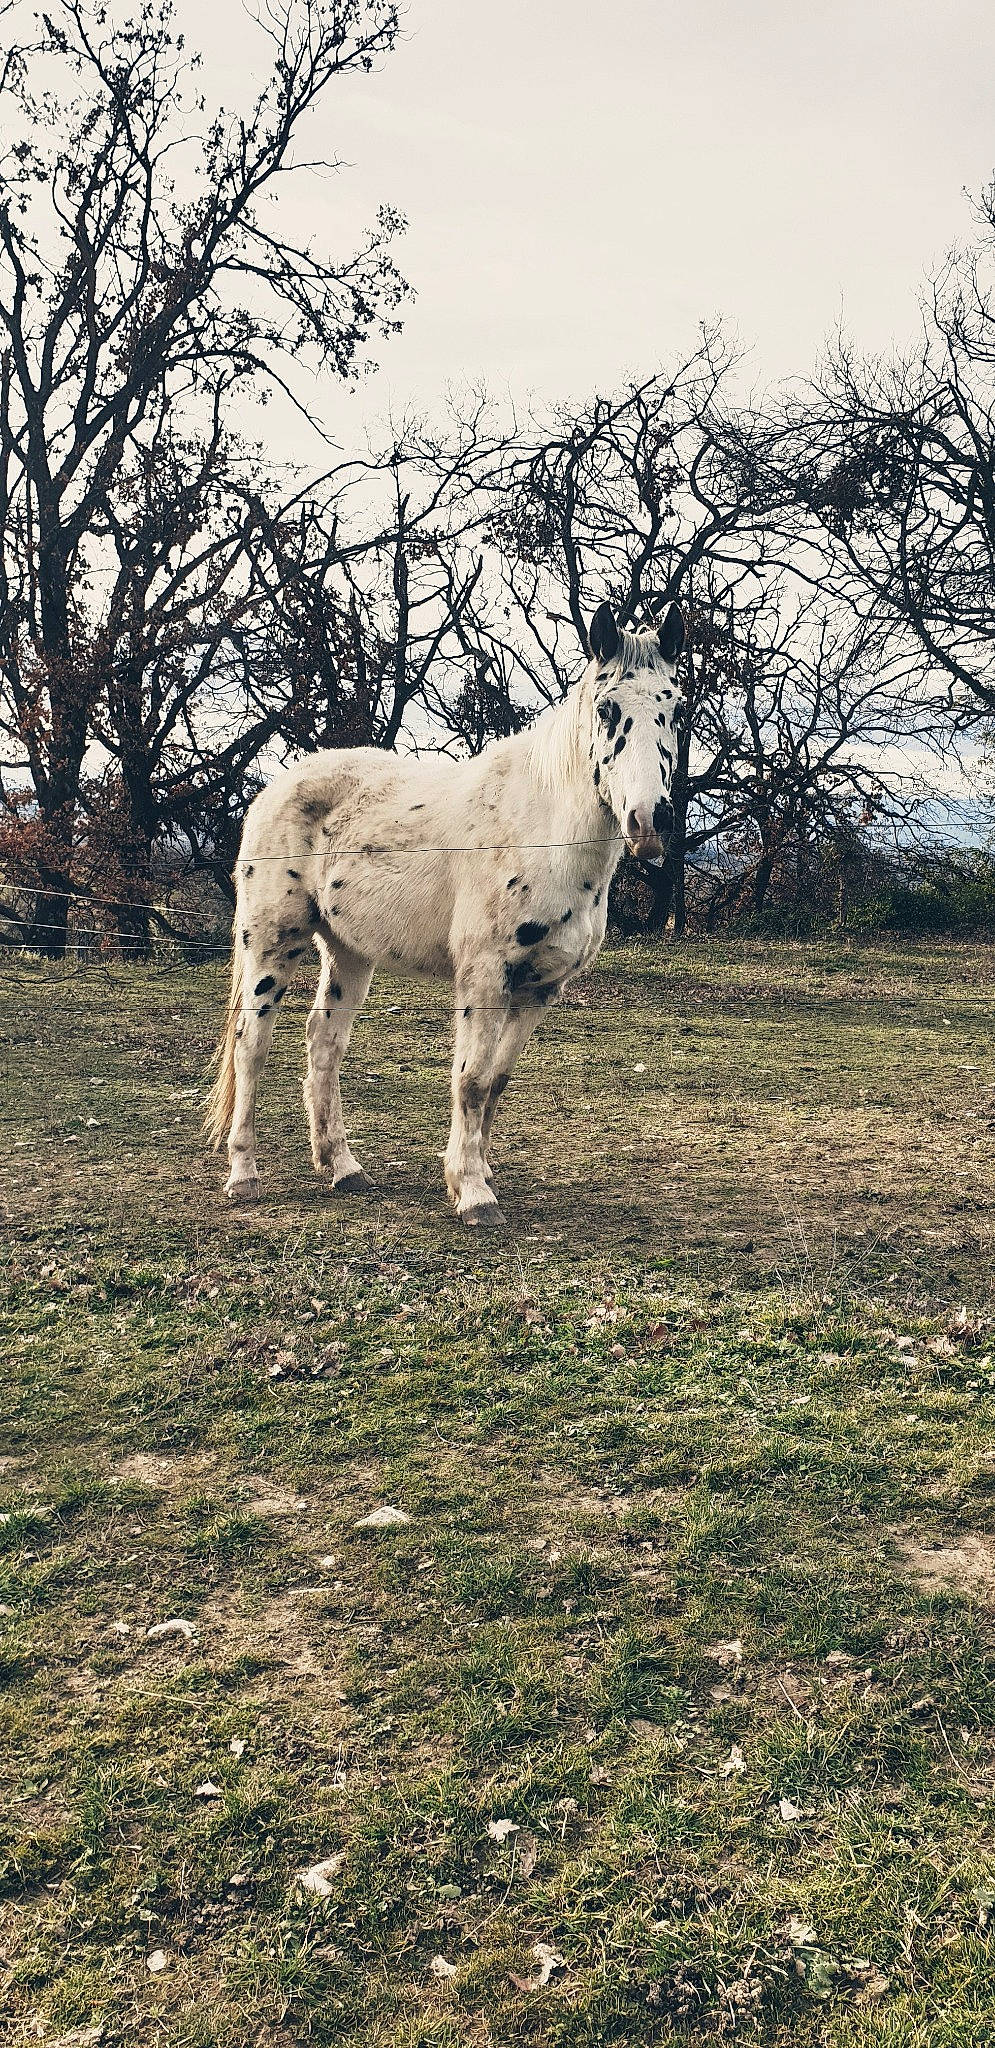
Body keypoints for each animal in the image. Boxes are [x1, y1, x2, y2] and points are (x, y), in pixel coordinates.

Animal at [204, 599, 686, 1226]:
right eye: (607, 709)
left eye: (677, 708)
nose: (649, 821)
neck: (541, 828)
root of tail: (276, 788)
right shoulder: (484, 977)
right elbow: (471, 1080)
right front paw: (474, 1195)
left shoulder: (540, 987)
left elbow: (496, 1081)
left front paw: (473, 1174)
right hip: (271, 943)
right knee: (250, 1045)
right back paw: (244, 1175)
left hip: (348, 952)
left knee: (323, 1041)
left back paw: (342, 1168)